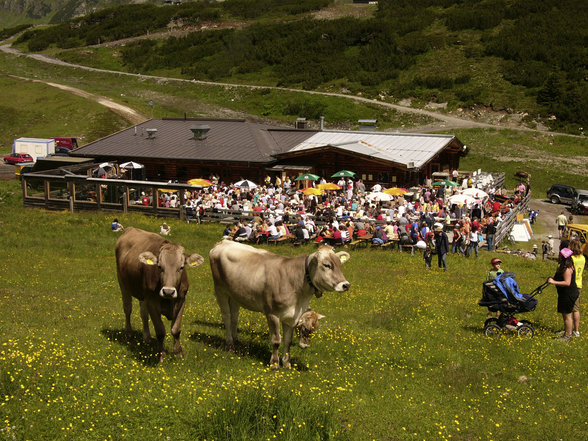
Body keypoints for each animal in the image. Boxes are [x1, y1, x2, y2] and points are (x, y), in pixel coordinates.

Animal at [115, 227, 204, 360]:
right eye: (160, 267)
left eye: (181, 267)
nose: (168, 291)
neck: (169, 300)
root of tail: (130, 229)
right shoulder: (152, 303)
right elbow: (160, 331)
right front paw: (162, 355)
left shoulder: (182, 299)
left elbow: (176, 329)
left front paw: (178, 353)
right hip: (123, 284)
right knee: (127, 309)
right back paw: (128, 333)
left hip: (143, 295)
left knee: (143, 314)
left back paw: (146, 337)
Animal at [209, 241, 350, 368]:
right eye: (327, 265)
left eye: (339, 264)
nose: (346, 285)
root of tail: (222, 242)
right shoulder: (272, 313)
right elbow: (276, 340)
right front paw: (275, 363)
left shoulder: (292, 317)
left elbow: (288, 341)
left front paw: (286, 363)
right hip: (220, 290)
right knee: (227, 317)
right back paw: (230, 344)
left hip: (235, 294)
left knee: (234, 317)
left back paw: (236, 340)